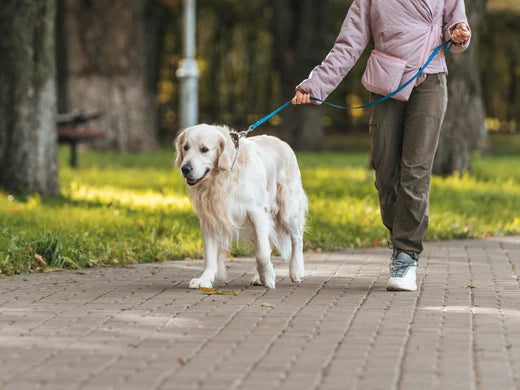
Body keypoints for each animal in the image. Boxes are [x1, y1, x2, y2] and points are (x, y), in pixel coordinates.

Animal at [175, 125, 306, 290]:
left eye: (204, 149)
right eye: (185, 147)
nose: (185, 168)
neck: (222, 177)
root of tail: (283, 142)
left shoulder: (257, 213)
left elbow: (262, 253)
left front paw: (268, 277)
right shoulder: (209, 219)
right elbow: (209, 256)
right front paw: (204, 279)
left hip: (288, 210)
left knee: (297, 238)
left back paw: (296, 270)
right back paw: (258, 277)